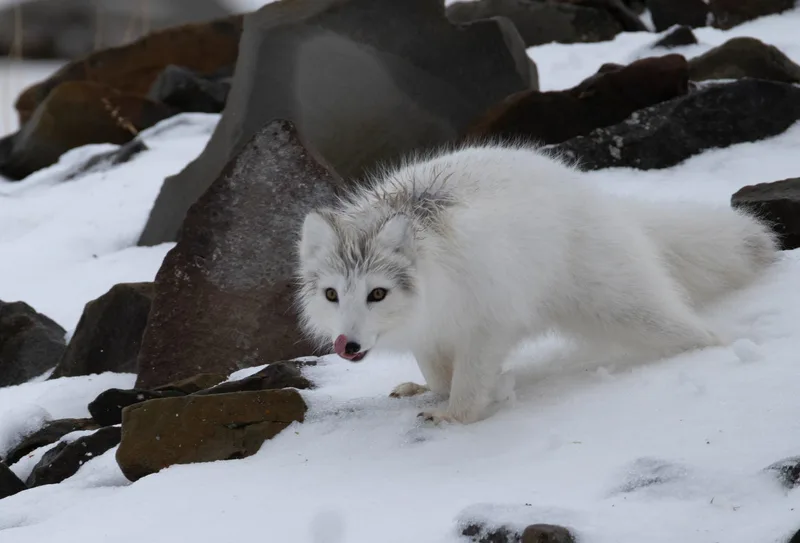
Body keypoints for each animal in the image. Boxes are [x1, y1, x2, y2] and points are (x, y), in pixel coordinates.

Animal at [295, 143, 778, 425]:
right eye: (332, 295)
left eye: (377, 293)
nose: (347, 345)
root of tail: (600, 197)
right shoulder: (428, 332)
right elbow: (438, 374)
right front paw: (430, 392)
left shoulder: (488, 321)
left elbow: (469, 381)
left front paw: (455, 416)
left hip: (623, 303)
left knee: (698, 331)